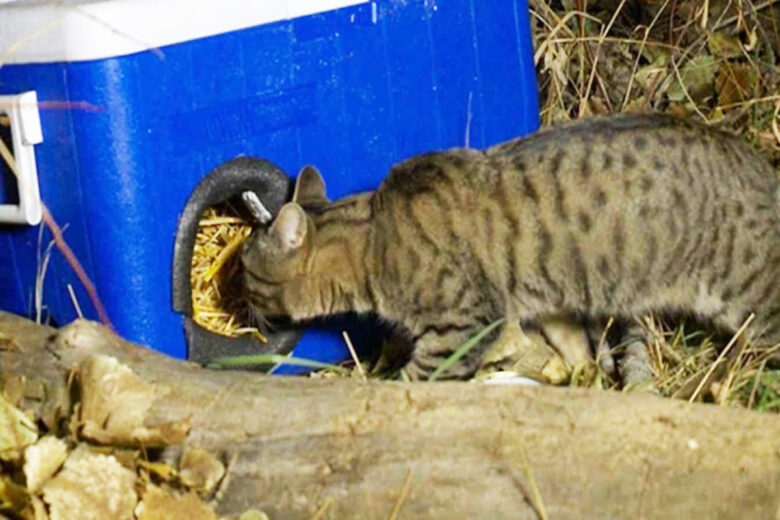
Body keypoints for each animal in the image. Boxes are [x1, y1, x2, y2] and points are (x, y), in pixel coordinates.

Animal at [241, 114, 776, 380]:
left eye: (243, 270)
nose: (240, 302)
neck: (373, 239)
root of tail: (764, 167)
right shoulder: (551, 303)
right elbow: (575, 347)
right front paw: (582, 377)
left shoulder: (460, 327)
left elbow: (417, 380)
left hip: (754, 301)